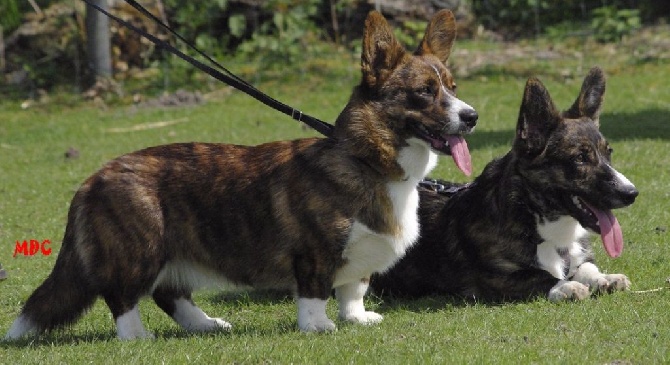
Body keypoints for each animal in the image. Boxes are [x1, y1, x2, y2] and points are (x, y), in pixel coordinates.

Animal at [5, 9, 478, 338]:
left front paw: (356, 318)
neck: (367, 160)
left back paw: (207, 325)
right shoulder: (314, 254)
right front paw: (317, 326)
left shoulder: (359, 259)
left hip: (174, 252)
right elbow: (314, 291)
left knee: (168, 293)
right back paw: (136, 336)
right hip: (142, 249)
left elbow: (353, 289)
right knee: (122, 296)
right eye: (424, 92)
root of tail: (92, 179)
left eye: (453, 87)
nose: (472, 117)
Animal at [372, 67, 640, 300]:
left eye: (608, 153)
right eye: (580, 158)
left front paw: (605, 278)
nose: (632, 194)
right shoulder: (497, 277)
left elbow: (586, 267)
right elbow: (540, 275)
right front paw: (566, 286)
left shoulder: (579, 257)